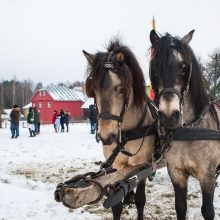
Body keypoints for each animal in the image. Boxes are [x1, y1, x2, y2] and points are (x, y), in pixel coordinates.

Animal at [82, 39, 156, 220]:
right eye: (93, 89)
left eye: (121, 89)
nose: (106, 136)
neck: (127, 133)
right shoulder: (116, 166)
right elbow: (116, 204)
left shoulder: (142, 164)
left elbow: (141, 200)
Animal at [150, 29, 220, 220]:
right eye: (154, 67)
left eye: (183, 67)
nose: (169, 116)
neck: (190, 131)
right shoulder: (176, 173)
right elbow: (180, 207)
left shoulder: (207, 176)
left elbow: (208, 211)